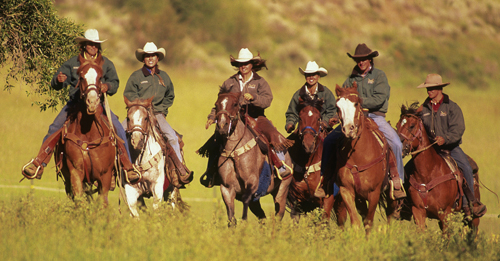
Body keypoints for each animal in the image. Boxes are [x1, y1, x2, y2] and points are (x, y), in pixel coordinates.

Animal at [54, 56, 116, 205]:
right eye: (81, 77)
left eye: (100, 77)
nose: (92, 102)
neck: (88, 133)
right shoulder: (76, 173)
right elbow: (79, 201)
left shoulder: (105, 176)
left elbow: (102, 202)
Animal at [214, 91, 292, 223]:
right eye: (216, 104)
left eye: (235, 104)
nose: (222, 126)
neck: (235, 153)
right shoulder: (226, 188)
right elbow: (231, 216)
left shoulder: (252, 182)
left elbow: (246, 200)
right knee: (262, 216)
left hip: (282, 189)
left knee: (279, 214)